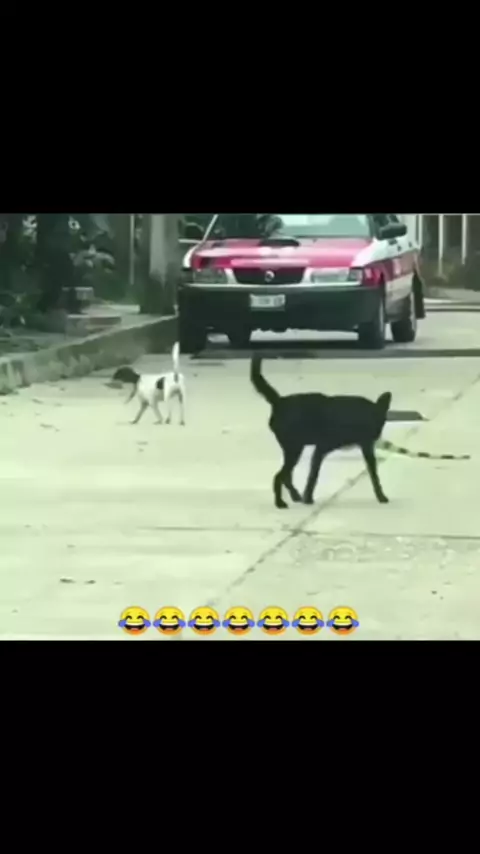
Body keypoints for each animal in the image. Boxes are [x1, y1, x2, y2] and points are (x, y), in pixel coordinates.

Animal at [251, 355, 392, 509]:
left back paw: (294, 495)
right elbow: (313, 475)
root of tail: (279, 401)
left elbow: (374, 474)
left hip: (293, 449)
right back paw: (280, 502)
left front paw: (381, 496)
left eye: (381, 422)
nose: (377, 435)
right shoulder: (321, 448)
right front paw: (308, 498)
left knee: (286, 476)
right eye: (375, 423)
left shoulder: (365, 447)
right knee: (279, 476)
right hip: (294, 449)